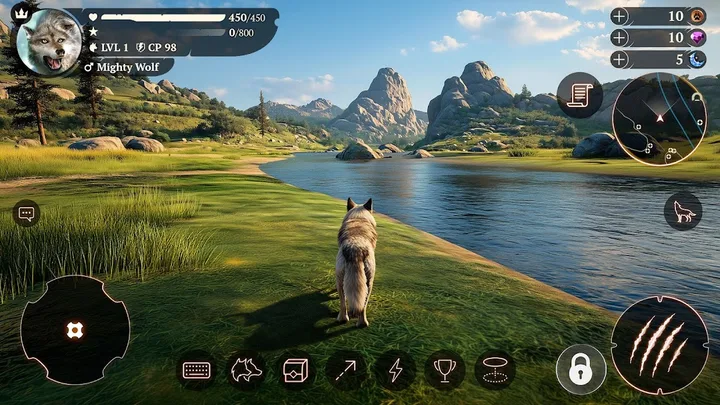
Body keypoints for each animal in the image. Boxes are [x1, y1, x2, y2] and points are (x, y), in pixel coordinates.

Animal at [336, 198, 377, 328]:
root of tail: (356, 248)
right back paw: (361, 322)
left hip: (341, 278)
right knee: (362, 306)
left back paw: (343, 319)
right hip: (369, 281)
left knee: (344, 303)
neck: (359, 217)